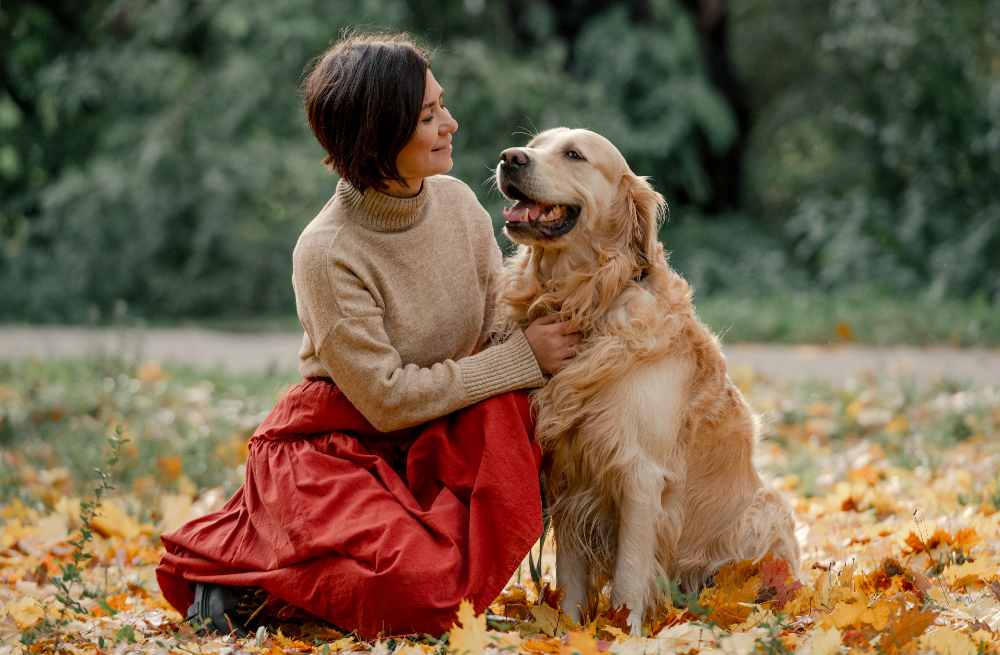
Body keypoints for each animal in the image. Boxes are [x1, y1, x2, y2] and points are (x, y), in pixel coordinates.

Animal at [496, 128, 800, 636]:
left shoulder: (639, 475)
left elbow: (628, 577)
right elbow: (571, 580)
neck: (587, 299)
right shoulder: (571, 473)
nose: (509, 158)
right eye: (534, 144)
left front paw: (623, 634)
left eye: (574, 154)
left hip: (766, 508)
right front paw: (572, 634)